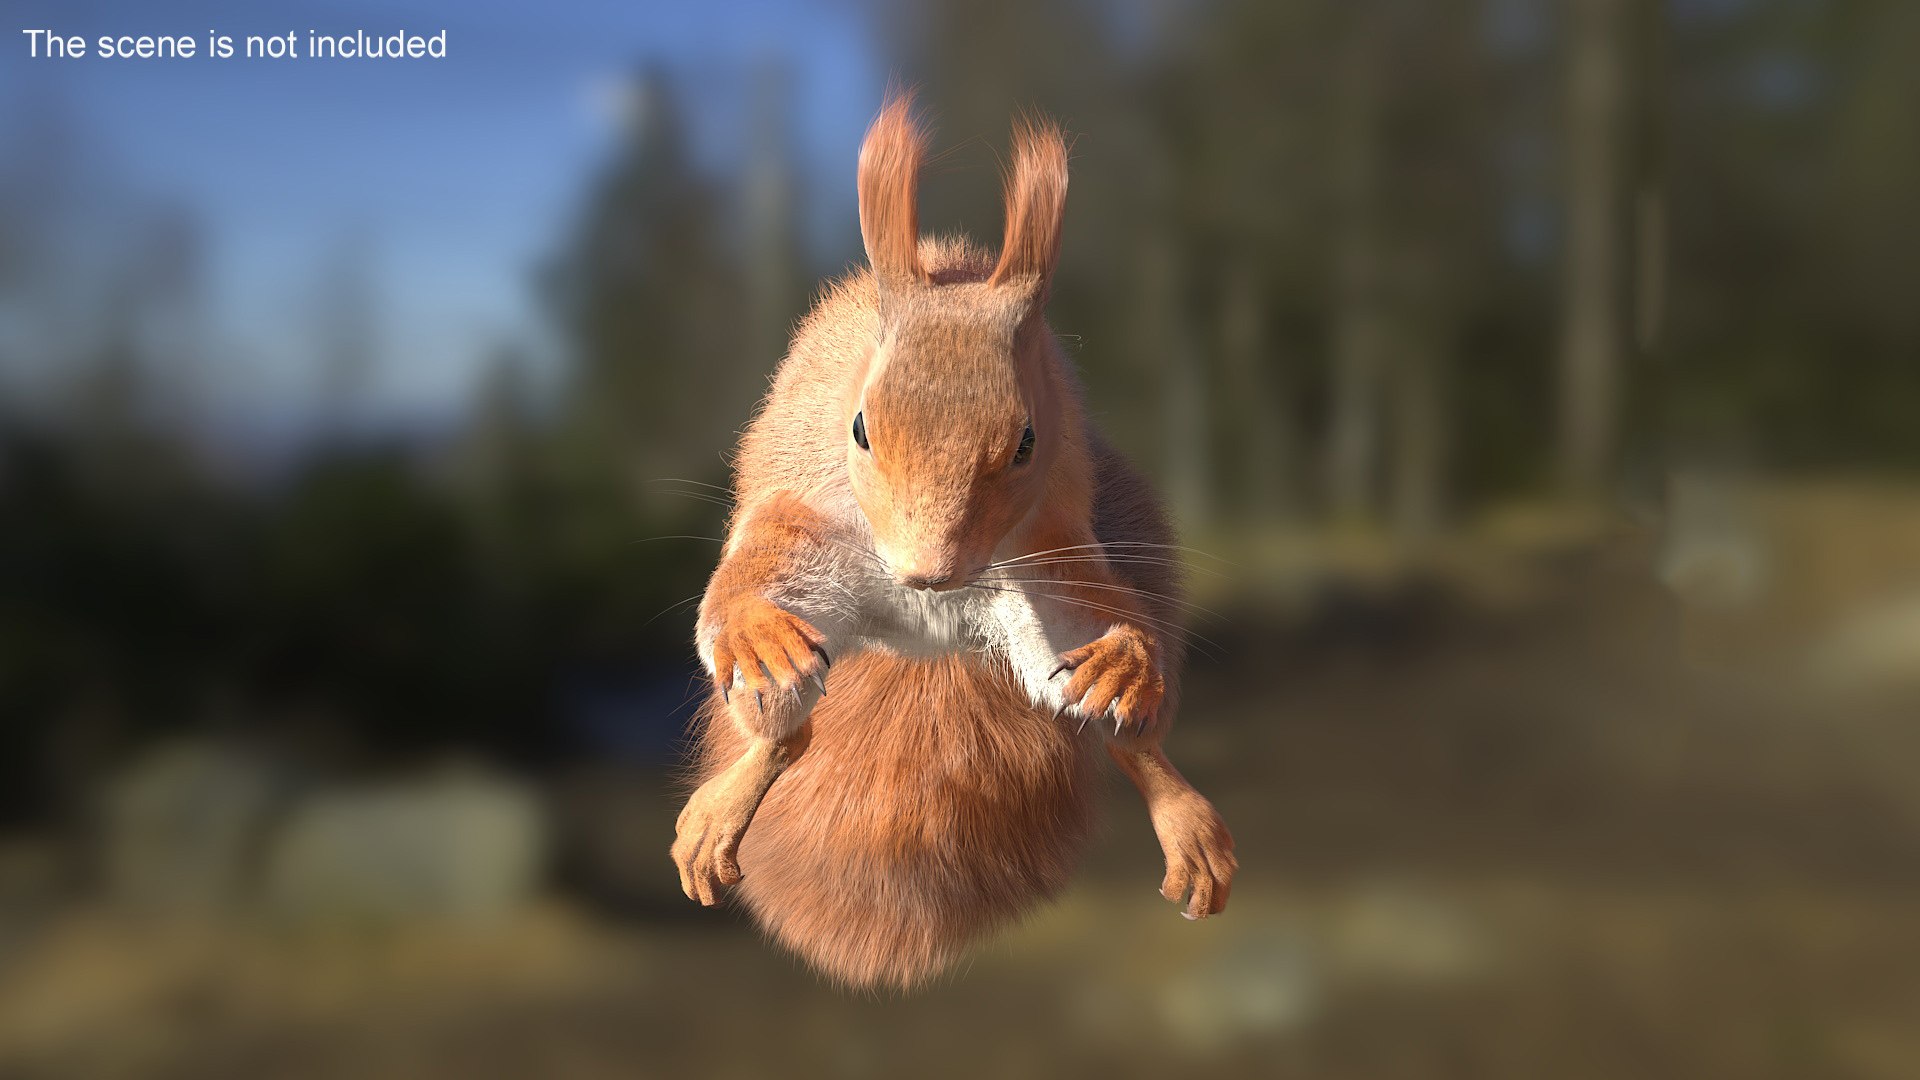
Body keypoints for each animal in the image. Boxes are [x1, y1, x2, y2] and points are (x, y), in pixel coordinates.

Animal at [672, 94, 1236, 990]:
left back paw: (1175, 802)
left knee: (1115, 733)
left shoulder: (1052, 546)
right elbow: (755, 577)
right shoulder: (804, 510)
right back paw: (724, 806)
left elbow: (1093, 613)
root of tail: (923, 644)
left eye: (1029, 441)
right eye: (859, 427)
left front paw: (1124, 658)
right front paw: (759, 633)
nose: (928, 572)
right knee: (789, 730)